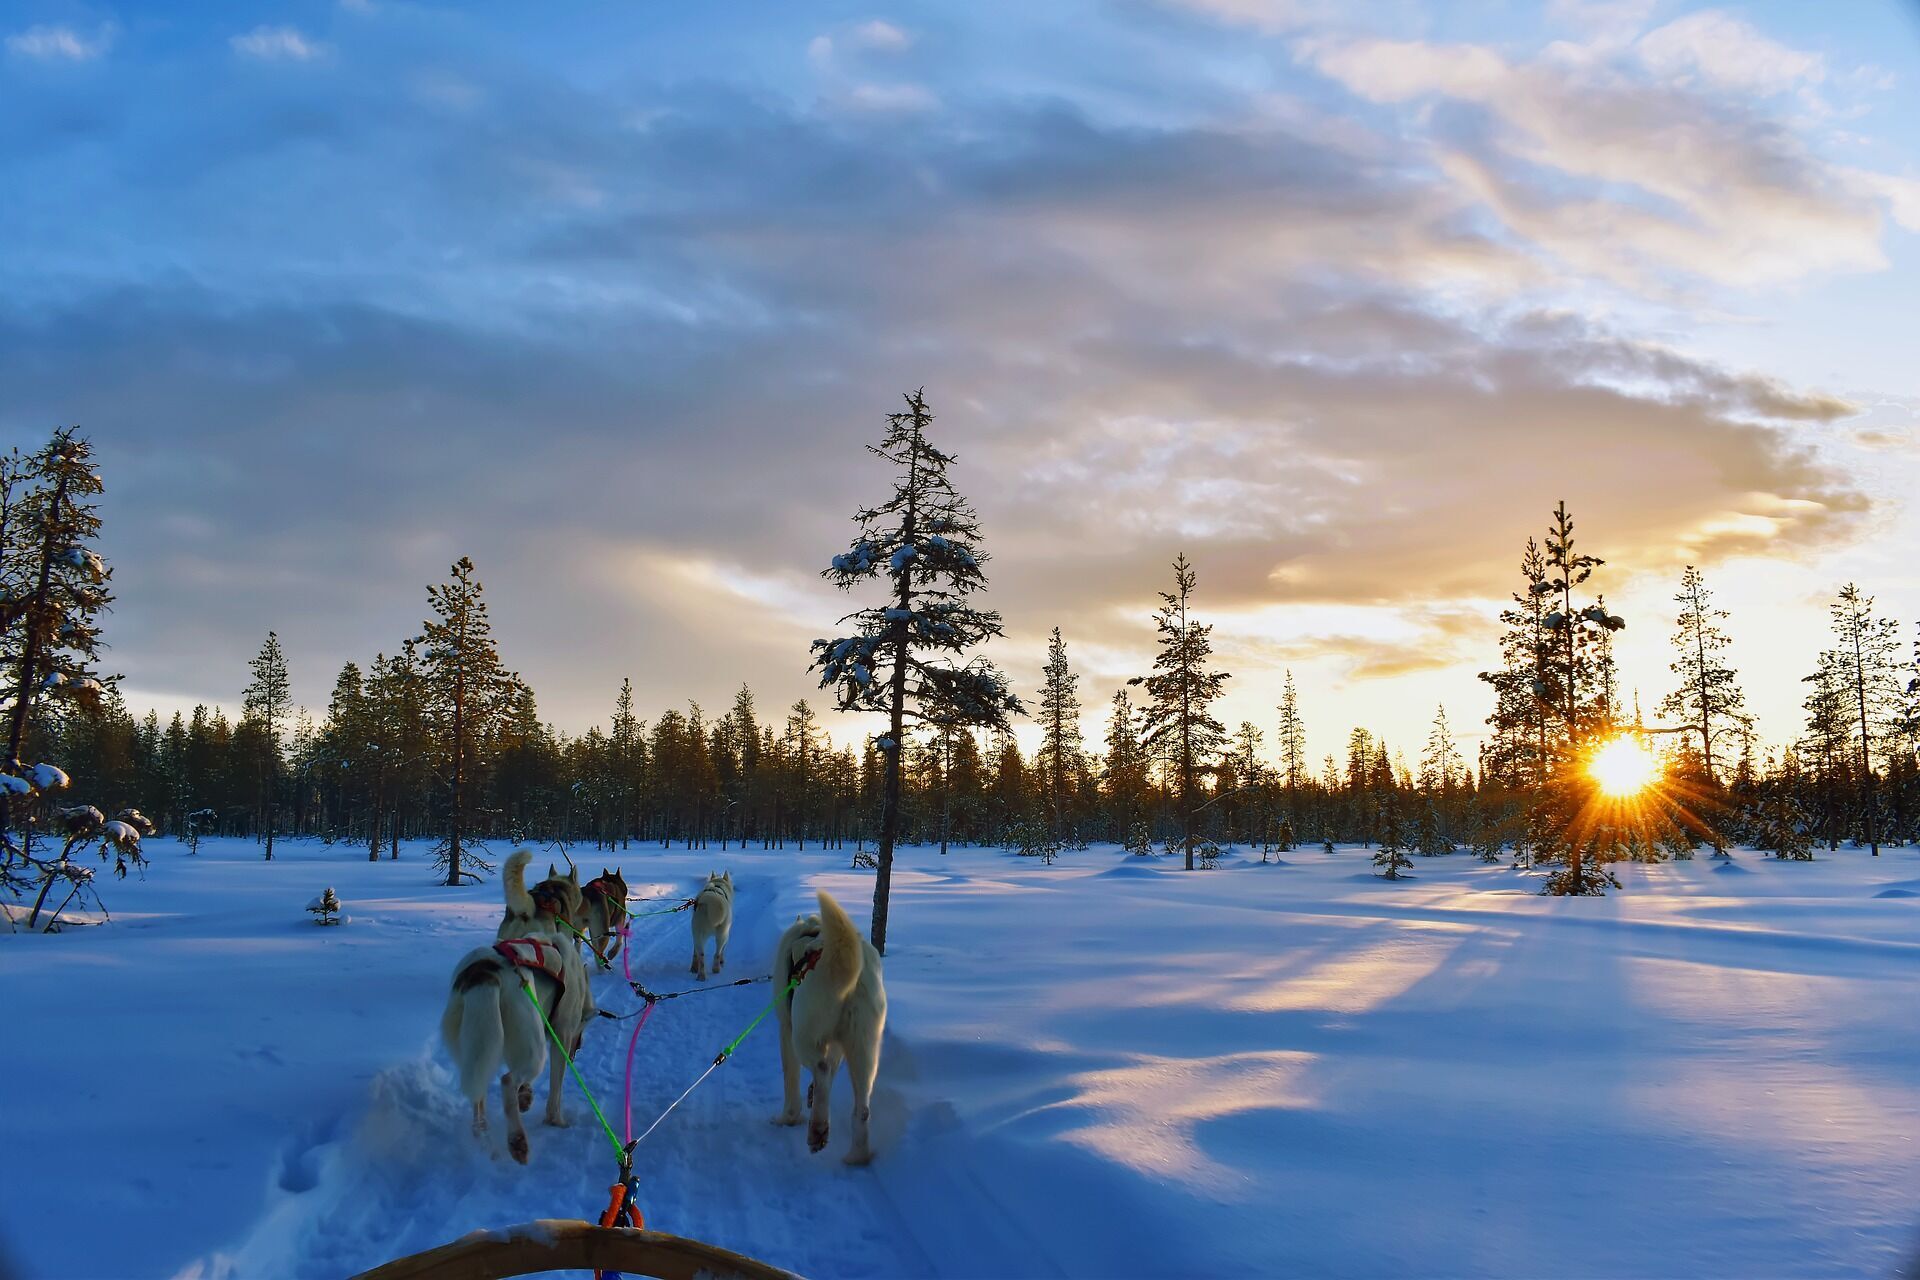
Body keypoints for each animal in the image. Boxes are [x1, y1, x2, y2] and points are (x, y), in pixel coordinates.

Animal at [445, 855, 595, 1166]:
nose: (578, 1049)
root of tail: (483, 973)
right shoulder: (561, 1035)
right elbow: (555, 1091)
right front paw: (556, 1120)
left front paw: (526, 1097)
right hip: (533, 1048)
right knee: (506, 1081)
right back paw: (517, 1141)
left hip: (477, 1046)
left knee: (480, 1092)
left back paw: (482, 1130)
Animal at [771, 898, 883, 1166]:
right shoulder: (837, 1045)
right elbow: (832, 1067)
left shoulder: (786, 1029)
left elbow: (791, 1080)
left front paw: (788, 1118)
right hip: (864, 1047)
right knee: (862, 1108)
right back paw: (856, 1156)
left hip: (803, 1035)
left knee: (820, 1069)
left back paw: (818, 1129)